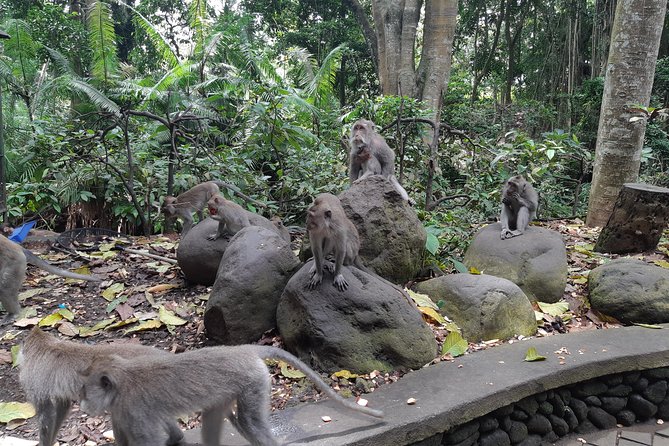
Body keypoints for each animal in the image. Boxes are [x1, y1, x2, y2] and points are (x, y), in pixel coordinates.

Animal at [79, 344, 383, 446]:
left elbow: (149, 440)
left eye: (83, 390)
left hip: (253, 381)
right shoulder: (122, 410)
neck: (121, 380)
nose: (81, 404)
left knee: (250, 420)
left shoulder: (134, 409)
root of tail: (243, 349)